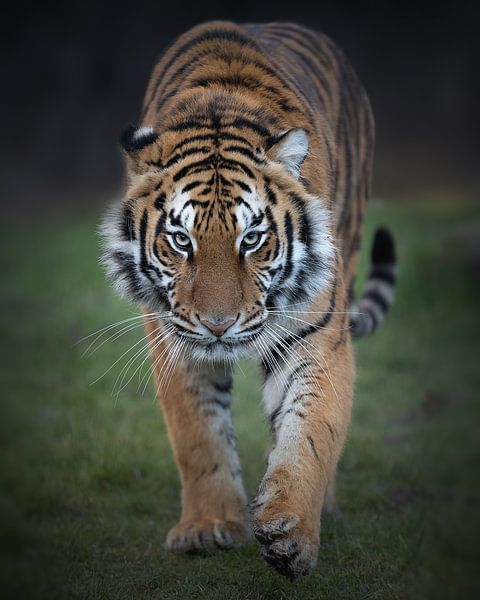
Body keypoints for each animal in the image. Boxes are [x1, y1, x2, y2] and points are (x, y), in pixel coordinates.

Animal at [100, 21, 394, 580]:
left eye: (252, 239)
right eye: (181, 241)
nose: (219, 325)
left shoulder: (317, 337)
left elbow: (310, 433)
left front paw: (293, 533)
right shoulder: (173, 340)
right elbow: (198, 435)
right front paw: (207, 527)